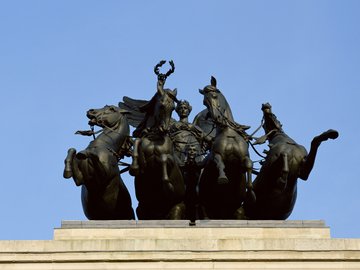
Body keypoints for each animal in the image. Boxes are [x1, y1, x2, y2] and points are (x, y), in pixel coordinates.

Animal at [197, 76, 256, 219]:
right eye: (204, 102)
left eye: (214, 95)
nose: (217, 118)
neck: (229, 133)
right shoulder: (216, 154)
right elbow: (220, 163)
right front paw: (223, 177)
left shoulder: (244, 157)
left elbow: (249, 165)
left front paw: (251, 194)